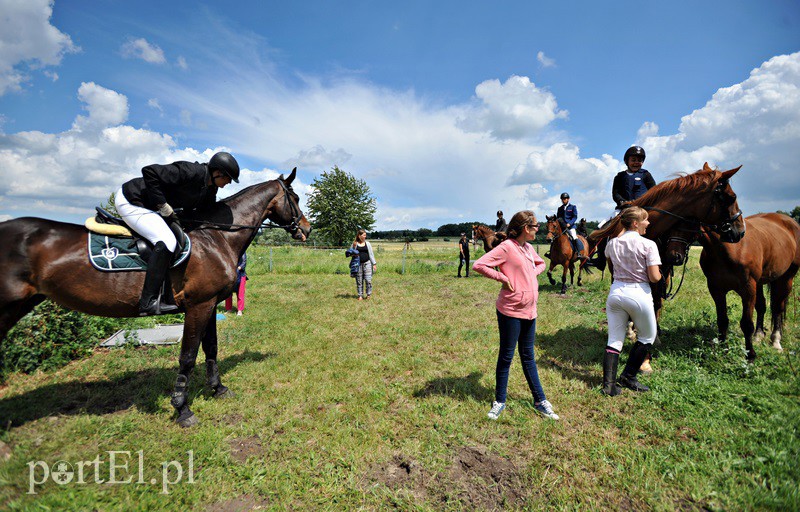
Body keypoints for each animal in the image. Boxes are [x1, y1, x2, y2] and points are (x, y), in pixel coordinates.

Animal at [0, 170, 310, 426]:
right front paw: (182, 409)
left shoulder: (209, 305)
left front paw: (218, 389)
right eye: (294, 198)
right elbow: (188, 357)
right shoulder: (198, 306)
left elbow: (211, 349)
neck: (216, 237)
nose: (306, 229)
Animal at [664, 212, 800, 360]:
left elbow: (747, 324)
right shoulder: (716, 289)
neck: (728, 249)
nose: (673, 256)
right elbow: (722, 320)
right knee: (762, 306)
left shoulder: (748, 289)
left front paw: (750, 355)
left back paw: (776, 340)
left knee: (777, 308)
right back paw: (758, 335)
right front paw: (723, 349)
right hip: (760, 283)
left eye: (688, 221)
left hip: (786, 278)